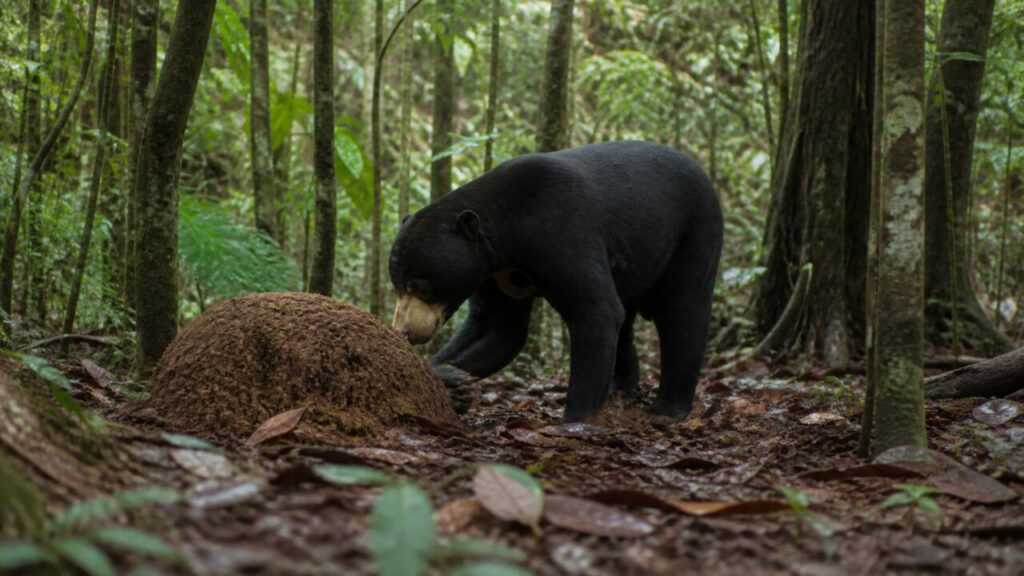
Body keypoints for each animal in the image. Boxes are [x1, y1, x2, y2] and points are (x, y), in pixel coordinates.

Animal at [389, 140, 723, 422]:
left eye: (420, 286)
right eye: (397, 285)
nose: (404, 330)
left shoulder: (561, 232)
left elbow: (596, 311)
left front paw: (574, 419)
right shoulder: (495, 274)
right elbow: (499, 329)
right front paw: (449, 378)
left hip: (693, 231)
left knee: (683, 312)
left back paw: (668, 409)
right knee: (627, 320)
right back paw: (620, 386)